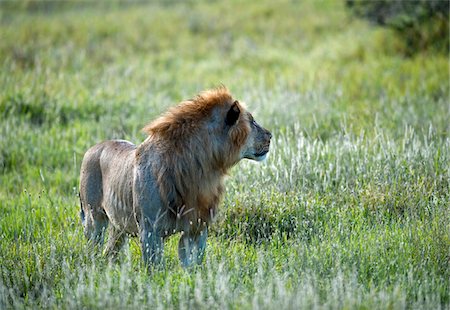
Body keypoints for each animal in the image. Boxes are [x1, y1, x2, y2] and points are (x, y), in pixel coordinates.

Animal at [79, 86, 272, 266]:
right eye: (252, 121)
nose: (270, 135)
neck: (204, 170)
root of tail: (92, 148)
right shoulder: (150, 230)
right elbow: (154, 267)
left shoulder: (197, 227)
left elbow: (193, 263)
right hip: (94, 219)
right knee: (92, 247)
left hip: (119, 226)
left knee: (109, 251)